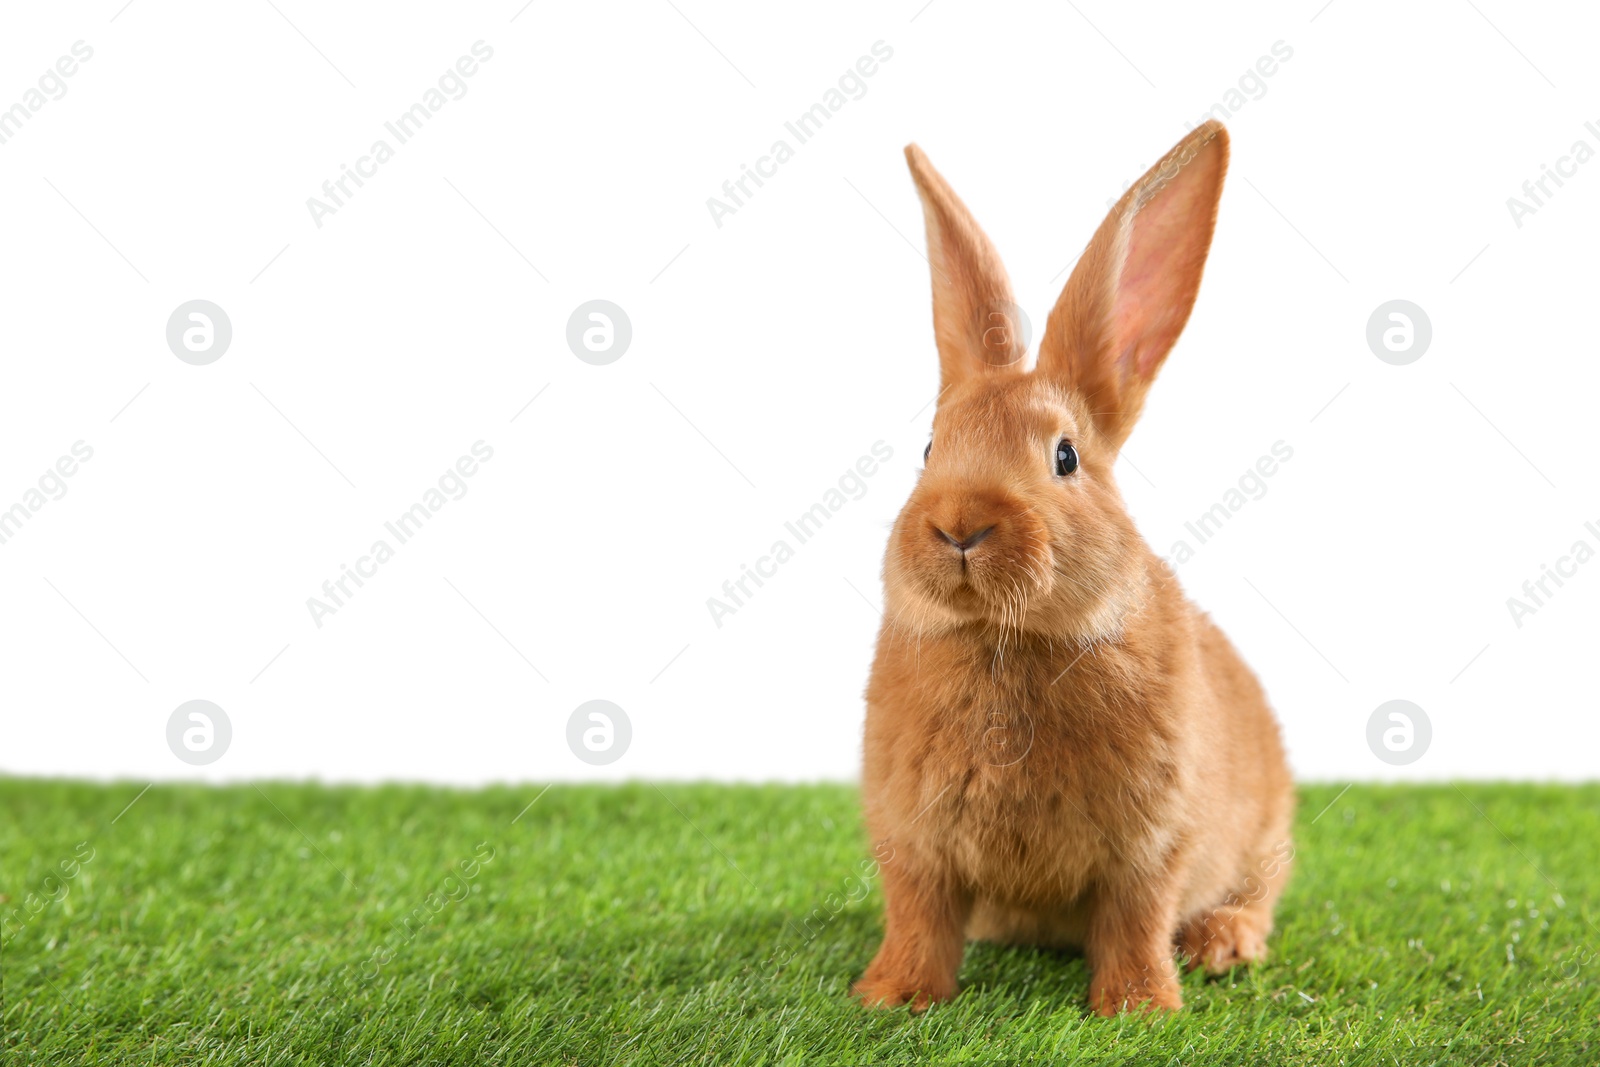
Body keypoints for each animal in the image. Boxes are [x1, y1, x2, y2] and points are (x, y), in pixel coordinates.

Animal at [857, 120, 1292, 1017]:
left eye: (1065, 457)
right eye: (930, 448)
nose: (959, 524)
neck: (1006, 637)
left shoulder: (1152, 840)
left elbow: (1135, 916)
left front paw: (1138, 1008)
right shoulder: (910, 838)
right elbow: (918, 915)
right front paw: (891, 996)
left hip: (1266, 837)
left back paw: (1221, 943)